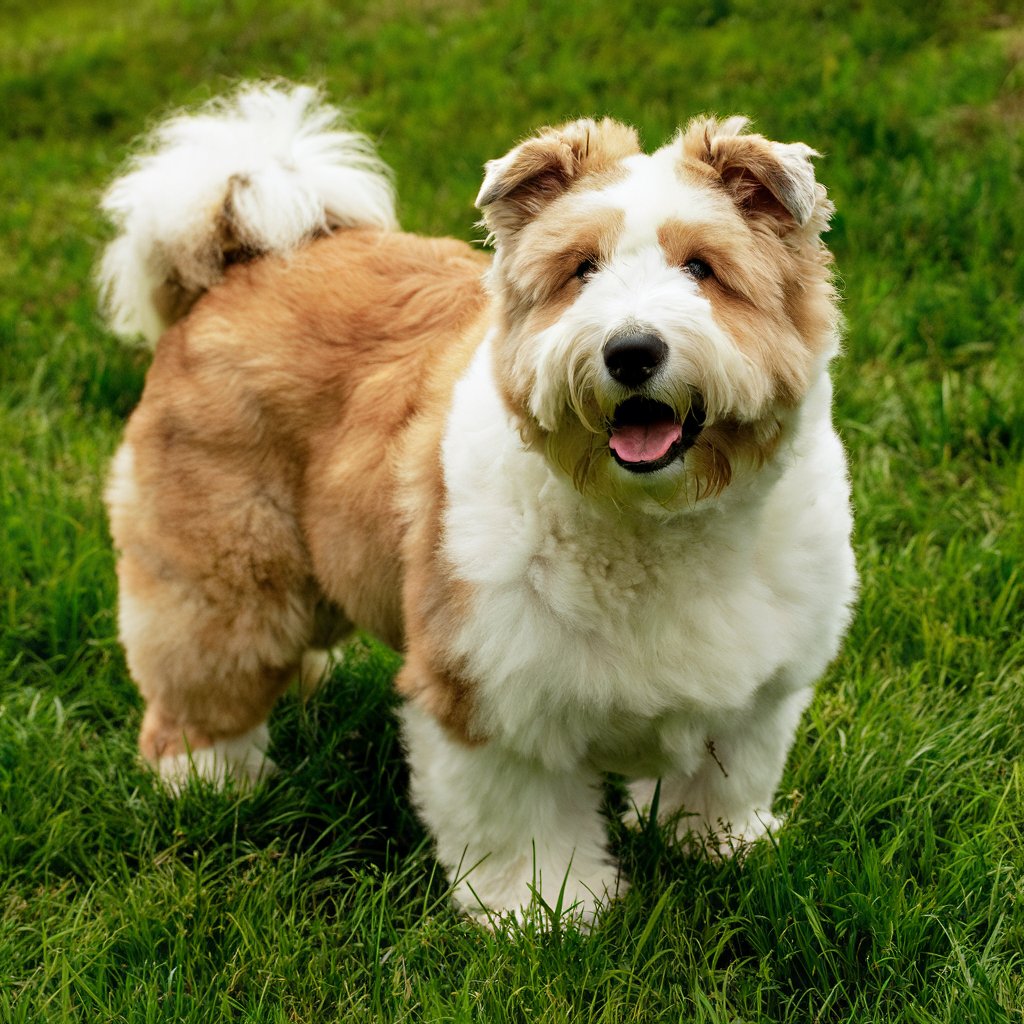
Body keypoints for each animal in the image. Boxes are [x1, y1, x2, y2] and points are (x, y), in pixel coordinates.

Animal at [101, 83, 856, 925]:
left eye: (703, 268)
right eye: (581, 270)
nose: (631, 351)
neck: (651, 522)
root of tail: (238, 264)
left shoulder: (757, 691)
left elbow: (723, 782)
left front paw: (722, 852)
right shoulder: (489, 700)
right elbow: (519, 823)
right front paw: (544, 913)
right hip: (226, 580)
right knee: (196, 689)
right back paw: (213, 789)